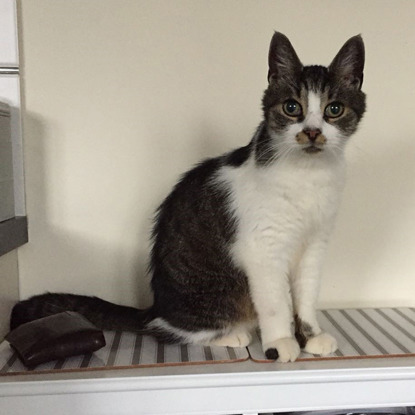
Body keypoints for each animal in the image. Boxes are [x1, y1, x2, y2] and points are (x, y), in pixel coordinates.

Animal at [11, 32, 366, 362]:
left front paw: (311, 335)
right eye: (292, 107)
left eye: (334, 109)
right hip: (215, 296)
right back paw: (232, 334)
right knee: (172, 330)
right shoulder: (264, 249)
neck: (308, 174)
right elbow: (276, 302)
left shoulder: (315, 245)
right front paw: (280, 342)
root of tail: (154, 307)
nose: (312, 132)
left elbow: (306, 296)